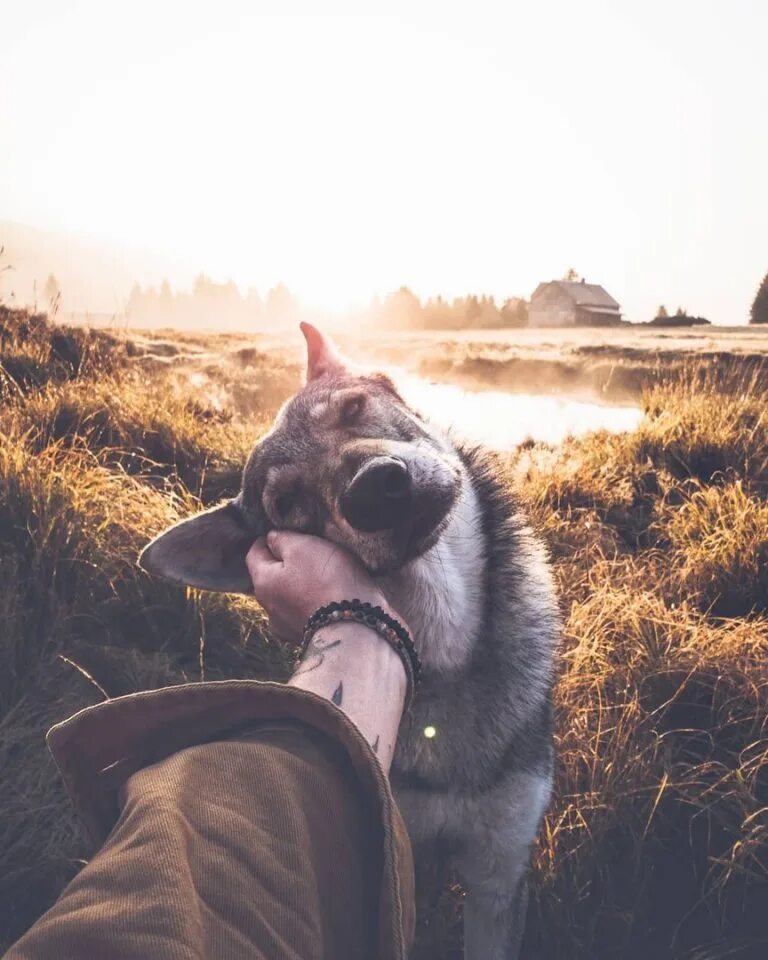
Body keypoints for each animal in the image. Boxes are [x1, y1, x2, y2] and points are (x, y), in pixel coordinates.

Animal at [140, 324, 560, 960]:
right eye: (288, 505)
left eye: (354, 409)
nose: (376, 489)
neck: (444, 659)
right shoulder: (393, 873)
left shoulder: (497, 876)